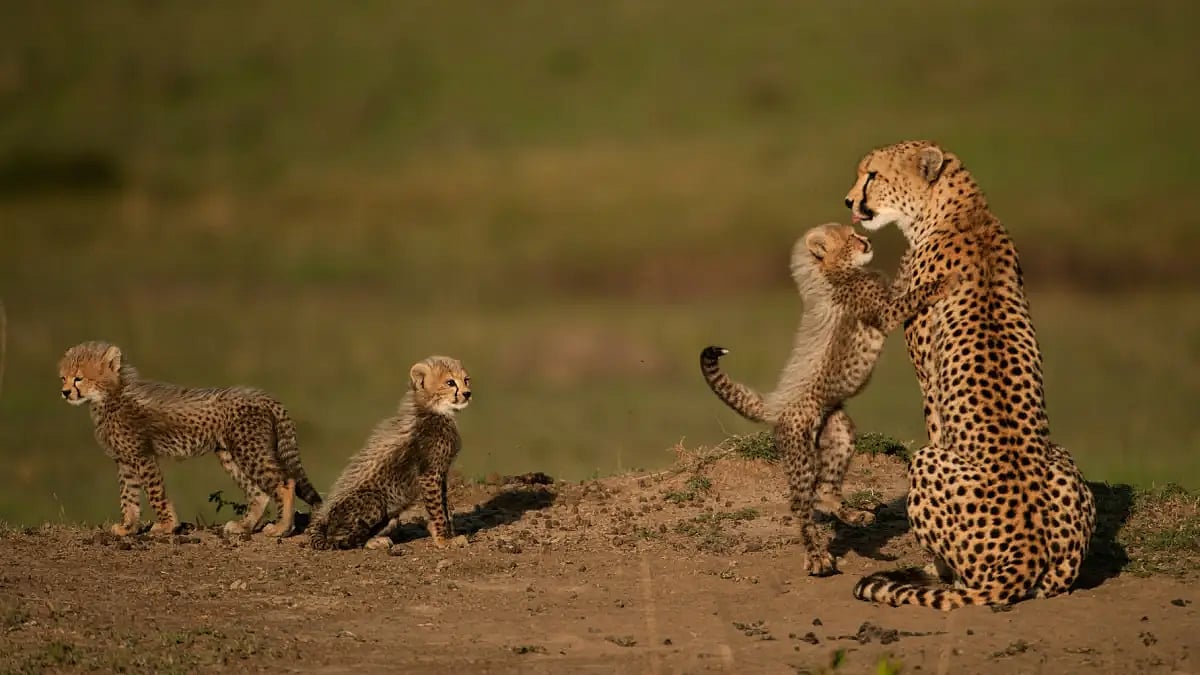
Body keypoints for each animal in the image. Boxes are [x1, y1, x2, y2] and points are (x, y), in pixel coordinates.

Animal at [58, 341, 323, 537]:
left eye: (79, 378)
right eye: (63, 378)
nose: (65, 392)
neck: (108, 397)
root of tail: (260, 395)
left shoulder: (142, 456)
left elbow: (155, 492)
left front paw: (167, 525)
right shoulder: (124, 461)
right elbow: (128, 496)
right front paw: (128, 527)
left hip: (249, 449)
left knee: (285, 482)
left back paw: (281, 528)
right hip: (229, 453)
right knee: (259, 492)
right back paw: (244, 526)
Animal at [307, 355, 471, 551]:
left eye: (466, 379)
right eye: (450, 382)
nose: (467, 393)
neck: (435, 409)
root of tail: (321, 518)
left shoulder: (441, 473)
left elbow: (444, 505)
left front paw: (446, 534)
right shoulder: (429, 474)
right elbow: (437, 509)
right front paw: (443, 539)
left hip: (391, 518)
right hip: (373, 500)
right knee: (339, 539)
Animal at [700, 223, 955, 575]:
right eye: (849, 237)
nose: (867, 240)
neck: (831, 273)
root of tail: (775, 404)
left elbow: (902, 279)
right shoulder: (885, 312)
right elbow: (911, 295)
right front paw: (940, 281)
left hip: (839, 431)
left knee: (823, 491)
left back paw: (856, 517)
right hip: (801, 454)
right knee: (801, 505)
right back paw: (817, 557)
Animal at [843, 140, 1096, 609]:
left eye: (872, 175)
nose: (849, 201)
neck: (963, 213)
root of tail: (1029, 555)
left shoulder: (927, 379)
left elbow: (934, 423)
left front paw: (930, 566)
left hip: (925, 463)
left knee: (964, 580)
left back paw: (934, 573)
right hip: (1061, 462)